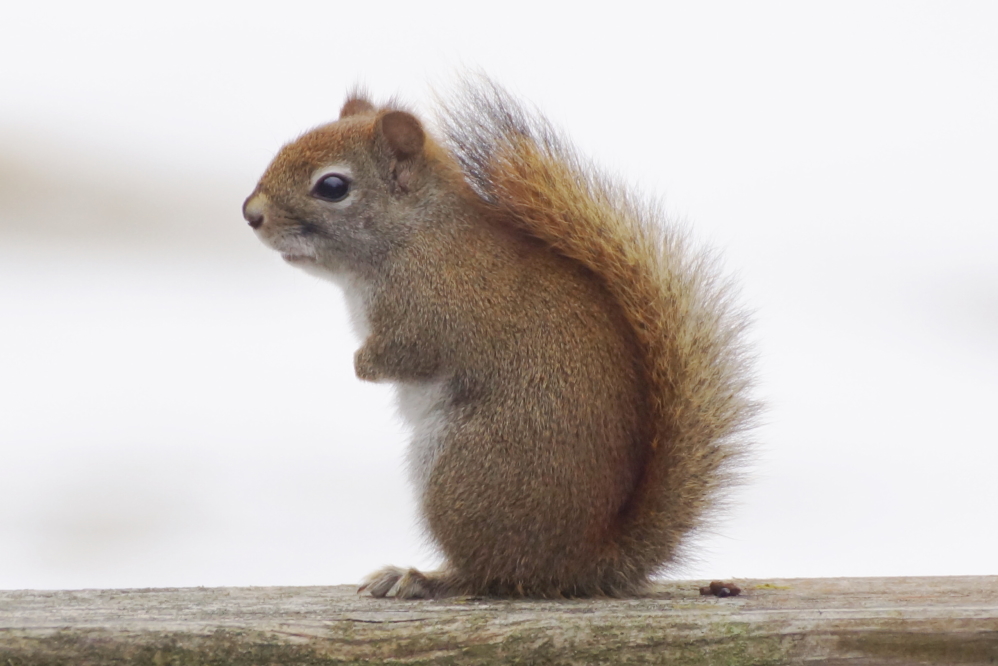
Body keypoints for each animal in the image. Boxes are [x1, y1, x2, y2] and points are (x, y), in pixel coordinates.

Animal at [242, 79, 756, 598]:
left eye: (332, 187)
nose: (250, 214)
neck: (416, 233)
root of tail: (579, 564)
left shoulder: (433, 308)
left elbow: (407, 353)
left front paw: (360, 365)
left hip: (462, 471)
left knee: (488, 573)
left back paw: (420, 578)